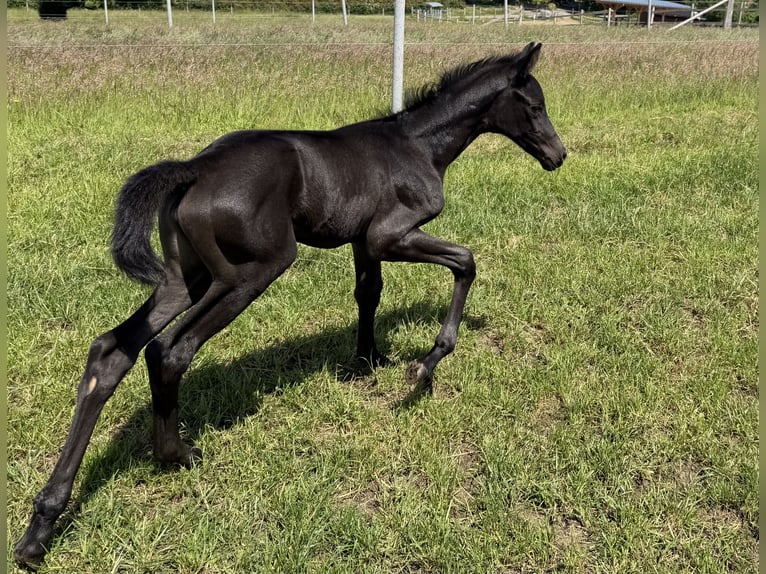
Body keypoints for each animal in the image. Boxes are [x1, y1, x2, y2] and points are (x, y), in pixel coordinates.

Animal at [14, 42, 565, 568]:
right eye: (535, 106)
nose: (558, 155)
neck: (417, 146)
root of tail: (194, 169)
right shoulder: (390, 235)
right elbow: (465, 263)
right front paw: (426, 365)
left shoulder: (363, 241)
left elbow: (369, 292)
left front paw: (366, 361)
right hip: (252, 270)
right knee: (171, 349)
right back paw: (174, 454)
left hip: (182, 278)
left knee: (114, 351)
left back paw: (40, 527)